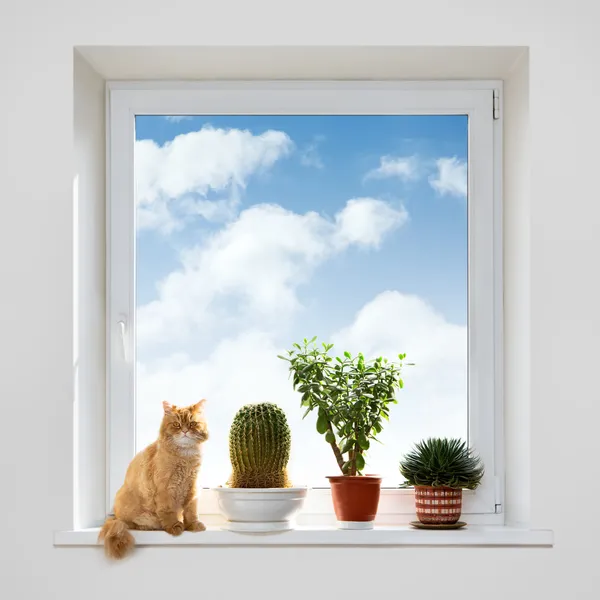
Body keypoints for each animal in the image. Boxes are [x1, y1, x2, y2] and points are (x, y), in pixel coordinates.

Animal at [99, 400, 210, 560]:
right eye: (176, 424)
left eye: (192, 424)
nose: (185, 431)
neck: (185, 457)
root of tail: (115, 518)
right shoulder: (166, 488)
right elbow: (168, 512)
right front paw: (175, 526)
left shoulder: (192, 488)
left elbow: (191, 512)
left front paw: (193, 525)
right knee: (133, 524)